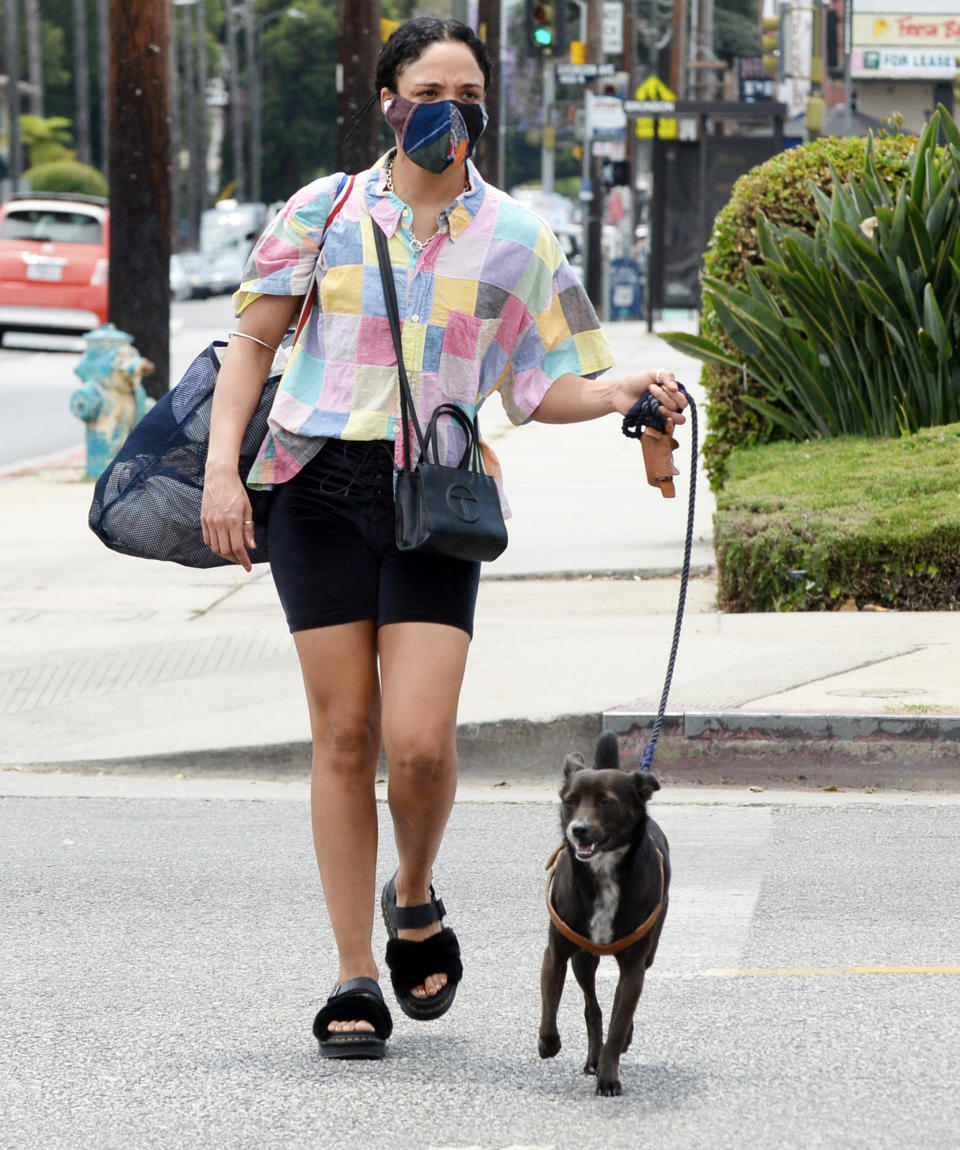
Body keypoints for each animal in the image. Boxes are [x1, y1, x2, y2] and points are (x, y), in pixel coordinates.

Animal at [535, 726, 671, 1094]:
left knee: (612, 1013)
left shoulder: (634, 966)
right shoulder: (556, 953)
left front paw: (609, 1077)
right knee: (591, 1008)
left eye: (607, 801)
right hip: (583, 960)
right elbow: (549, 1006)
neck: (603, 872)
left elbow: (618, 1023)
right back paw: (592, 1057)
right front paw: (548, 1043)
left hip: (645, 956)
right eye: (569, 801)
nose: (577, 830)